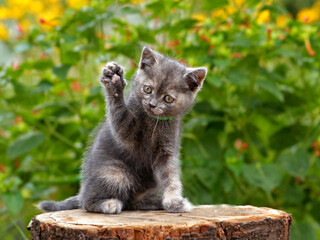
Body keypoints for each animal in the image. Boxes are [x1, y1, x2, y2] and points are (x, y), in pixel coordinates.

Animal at [38, 46, 208, 214]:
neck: (152, 121)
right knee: (87, 203)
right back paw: (108, 203)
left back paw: (153, 201)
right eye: (148, 89)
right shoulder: (127, 132)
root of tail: (83, 190)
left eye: (168, 98)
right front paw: (115, 85)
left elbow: (170, 176)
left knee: (130, 201)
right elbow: (119, 117)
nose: (152, 104)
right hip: (114, 172)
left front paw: (174, 202)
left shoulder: (167, 149)